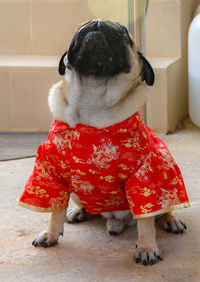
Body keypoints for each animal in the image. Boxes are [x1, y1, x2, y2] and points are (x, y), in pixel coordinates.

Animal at [18, 19, 188, 266]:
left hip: (167, 172)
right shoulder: (52, 174)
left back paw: (170, 221)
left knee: (161, 211)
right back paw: (78, 212)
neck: (93, 98)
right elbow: (55, 210)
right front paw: (51, 234)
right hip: (76, 191)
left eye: (124, 33)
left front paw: (147, 248)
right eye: (82, 27)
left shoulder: (144, 177)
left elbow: (146, 221)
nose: (99, 23)